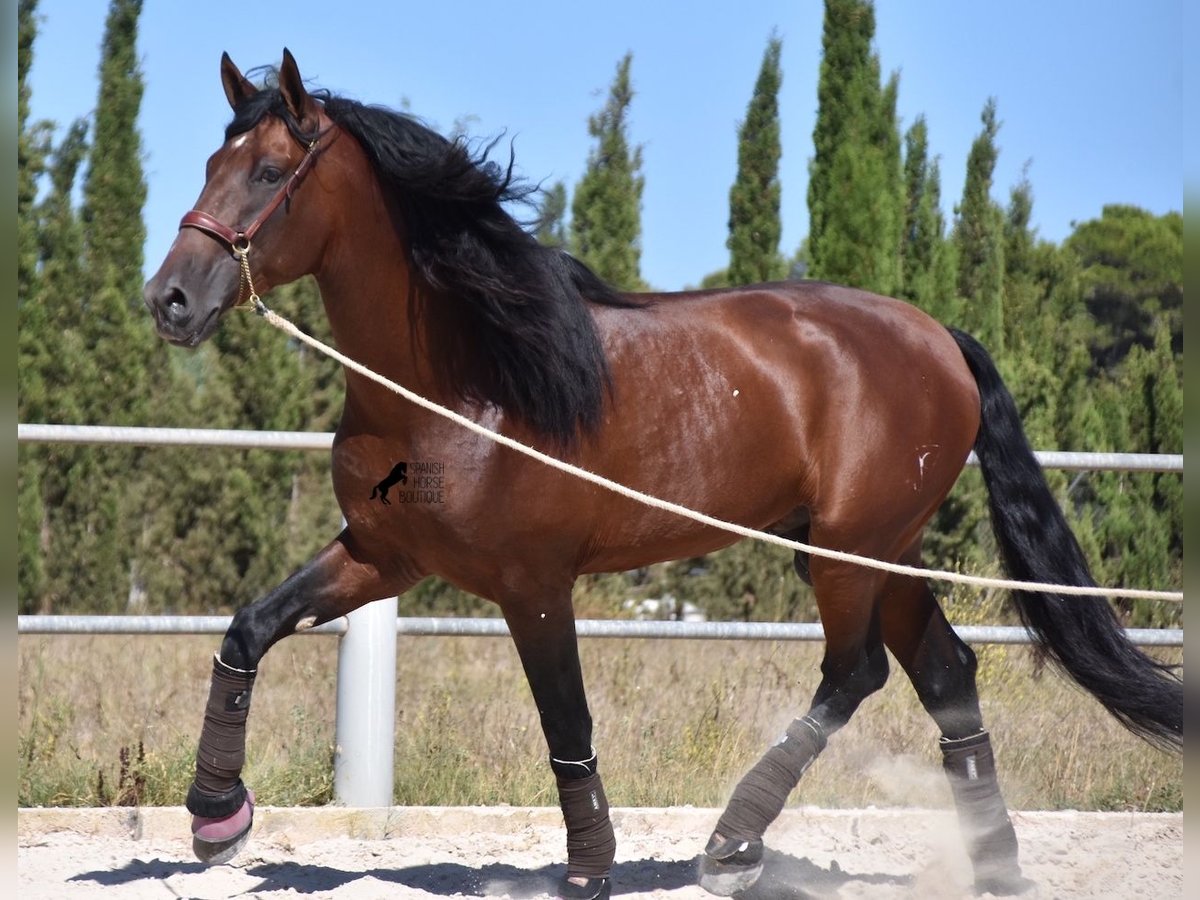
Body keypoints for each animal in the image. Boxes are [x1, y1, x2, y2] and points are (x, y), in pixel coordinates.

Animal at [142, 51, 1180, 900]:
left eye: (268, 172)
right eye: (209, 166)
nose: (170, 300)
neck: (462, 379)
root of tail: (940, 339)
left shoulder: (533, 584)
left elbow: (567, 722)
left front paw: (589, 870)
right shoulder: (381, 556)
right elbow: (249, 630)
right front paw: (216, 817)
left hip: (846, 554)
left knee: (856, 673)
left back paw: (732, 846)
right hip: (881, 553)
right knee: (948, 676)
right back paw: (994, 866)